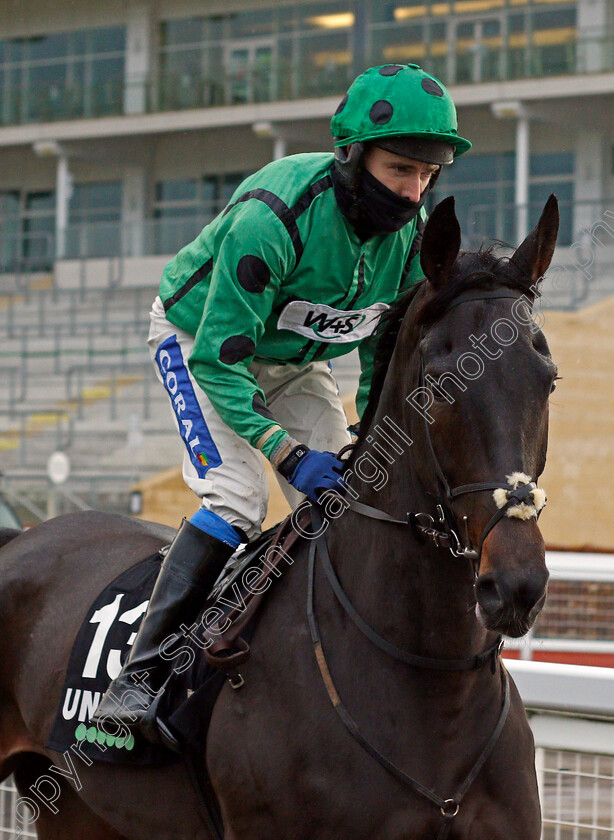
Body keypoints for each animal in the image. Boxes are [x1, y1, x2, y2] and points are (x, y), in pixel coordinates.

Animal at [0, 194, 560, 836]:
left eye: (548, 379)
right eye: (441, 383)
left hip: (76, 805)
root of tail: (22, 538)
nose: (516, 585)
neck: (435, 691)